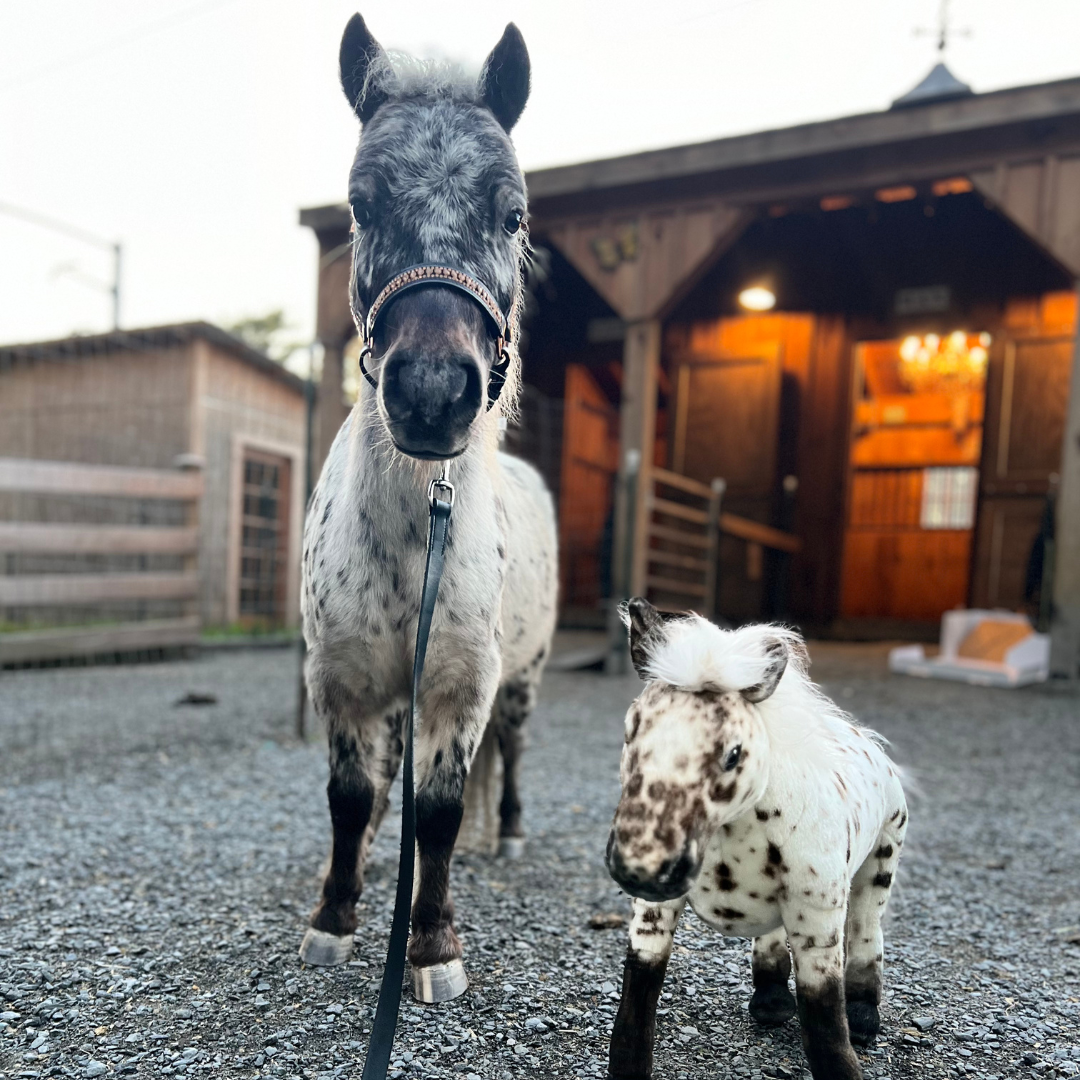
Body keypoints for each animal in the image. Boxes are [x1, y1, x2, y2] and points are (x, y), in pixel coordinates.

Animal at [609, 600, 902, 1080]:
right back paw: (771, 1004)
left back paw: (862, 1019)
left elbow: (825, 1019)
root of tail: (866, 739)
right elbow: (638, 996)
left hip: (879, 865)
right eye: (630, 731)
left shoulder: (817, 913)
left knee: (866, 934)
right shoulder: (654, 911)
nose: (642, 869)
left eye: (733, 753)